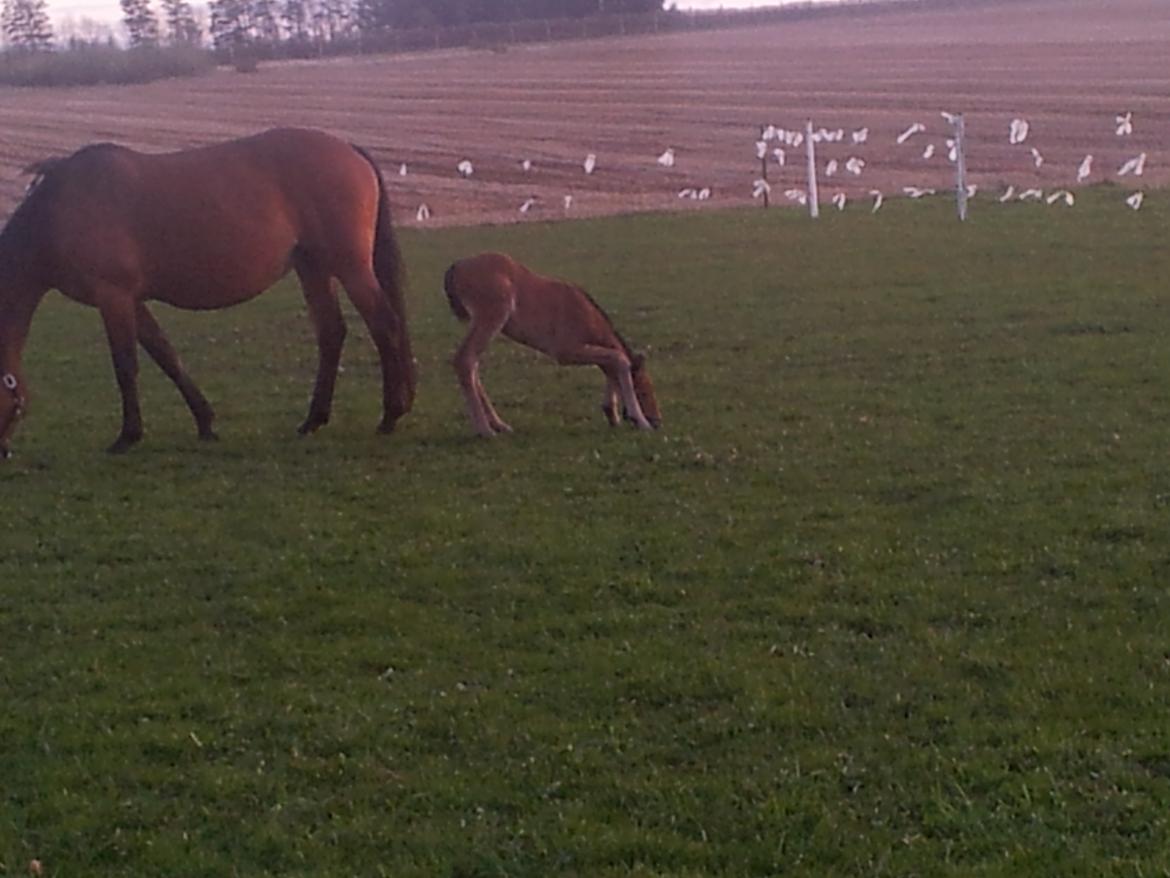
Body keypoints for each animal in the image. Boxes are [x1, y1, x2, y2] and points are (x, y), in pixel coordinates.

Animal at [0, 128, 416, 461]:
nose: (3, 453)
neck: (62, 208)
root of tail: (348, 148)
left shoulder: (113, 297)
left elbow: (126, 366)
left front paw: (127, 436)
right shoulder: (133, 300)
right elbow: (166, 356)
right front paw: (205, 422)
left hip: (349, 266)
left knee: (385, 324)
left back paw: (390, 415)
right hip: (312, 267)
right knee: (331, 334)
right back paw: (312, 420)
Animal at [439, 250, 659, 437]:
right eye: (644, 390)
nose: (657, 420)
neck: (587, 315)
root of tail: (456, 267)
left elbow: (612, 363)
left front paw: (611, 414)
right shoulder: (565, 351)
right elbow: (619, 358)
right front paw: (639, 420)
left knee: (473, 363)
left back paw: (500, 425)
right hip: (491, 316)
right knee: (465, 360)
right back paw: (485, 430)